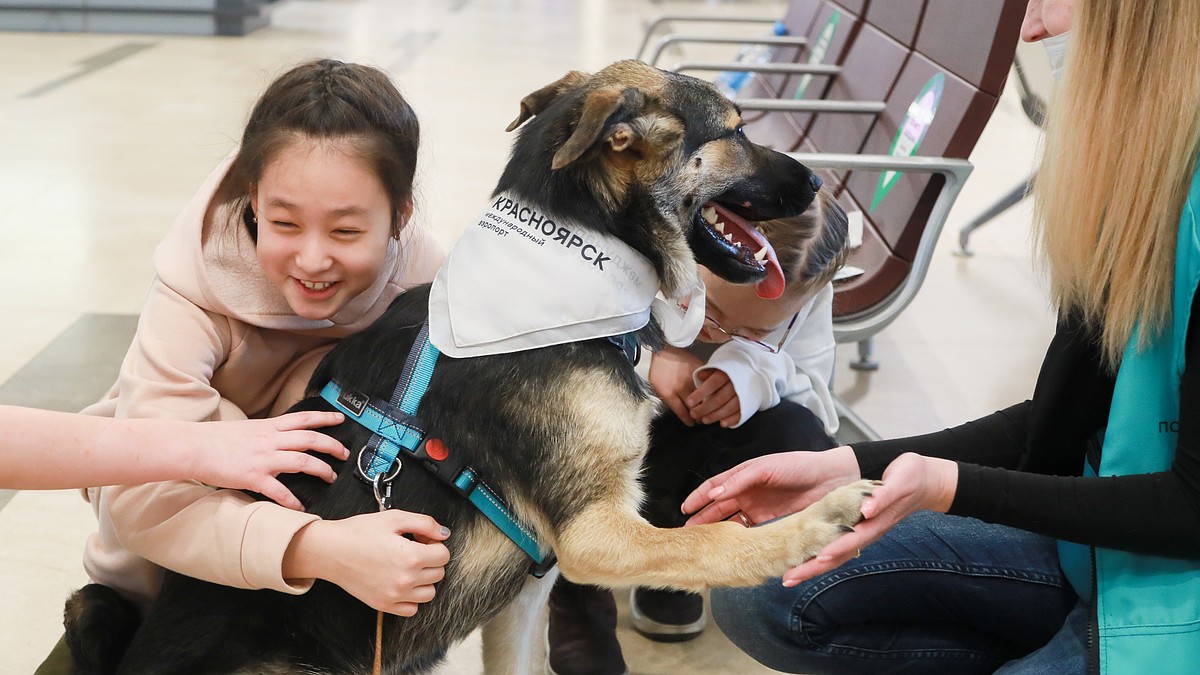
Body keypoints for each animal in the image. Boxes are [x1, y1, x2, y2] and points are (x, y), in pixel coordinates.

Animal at [65, 60, 873, 667]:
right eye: (735, 132)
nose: (820, 187)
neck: (576, 249)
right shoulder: (595, 533)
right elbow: (717, 539)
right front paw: (820, 518)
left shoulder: (529, 591)